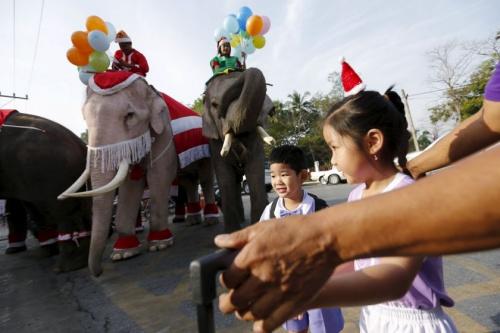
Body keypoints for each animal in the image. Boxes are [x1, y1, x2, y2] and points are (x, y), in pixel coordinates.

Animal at [58, 71, 219, 276]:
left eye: (130, 115)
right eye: (85, 118)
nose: (99, 272)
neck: (150, 91)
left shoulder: (164, 134)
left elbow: (158, 177)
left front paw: (159, 244)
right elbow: (129, 186)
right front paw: (123, 253)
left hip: (207, 148)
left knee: (205, 178)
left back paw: (210, 221)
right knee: (189, 181)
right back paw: (192, 221)